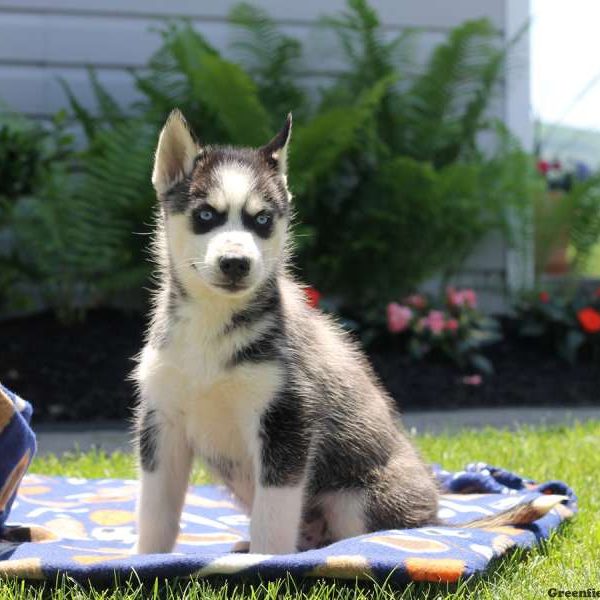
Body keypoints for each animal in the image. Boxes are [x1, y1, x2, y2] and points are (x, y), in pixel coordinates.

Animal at [132, 110, 440, 556]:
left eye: (262, 221)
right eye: (205, 215)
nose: (235, 263)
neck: (212, 325)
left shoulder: (286, 419)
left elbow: (273, 517)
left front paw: (265, 561)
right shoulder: (162, 422)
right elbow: (156, 512)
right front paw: (145, 559)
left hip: (358, 499)